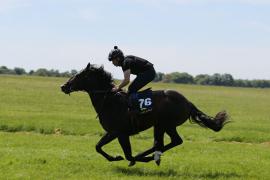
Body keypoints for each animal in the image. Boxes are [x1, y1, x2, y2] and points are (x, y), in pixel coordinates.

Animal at [60, 63, 228, 166]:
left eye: (79, 75)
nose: (63, 86)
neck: (109, 100)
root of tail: (188, 102)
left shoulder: (118, 132)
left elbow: (123, 153)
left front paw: (120, 158)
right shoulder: (116, 132)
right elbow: (98, 147)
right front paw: (119, 157)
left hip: (164, 124)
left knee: (167, 142)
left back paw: (149, 156)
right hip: (162, 125)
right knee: (166, 143)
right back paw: (153, 156)